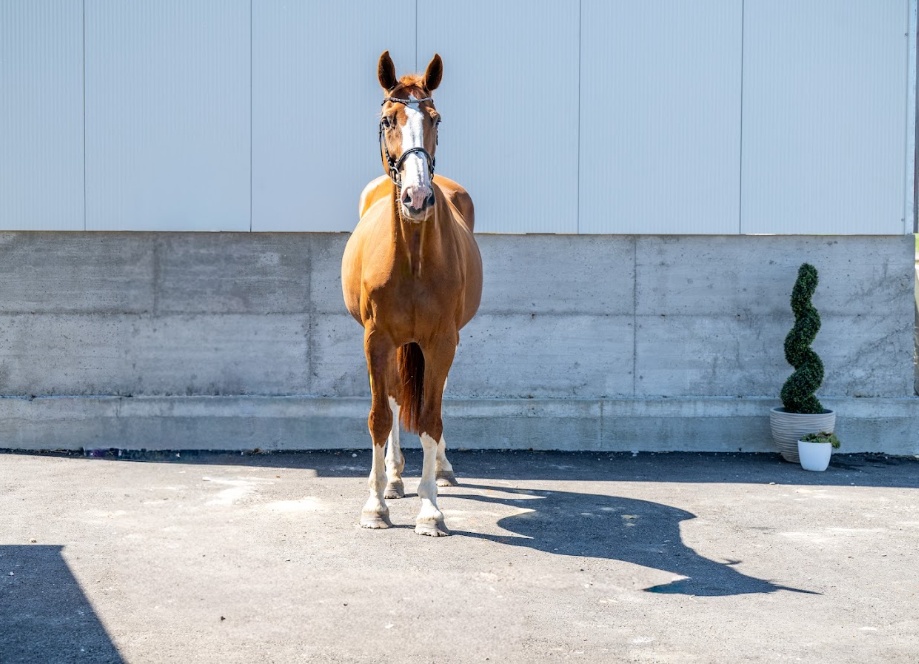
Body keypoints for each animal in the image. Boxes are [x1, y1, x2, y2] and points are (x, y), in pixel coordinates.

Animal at [341, 51, 482, 537]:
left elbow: (430, 416)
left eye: (436, 118)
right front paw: (375, 505)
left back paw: (438, 468)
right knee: (392, 397)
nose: (417, 197)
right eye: (388, 120)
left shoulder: (442, 341)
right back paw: (394, 477)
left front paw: (431, 510)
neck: (414, 255)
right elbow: (380, 416)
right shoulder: (376, 339)